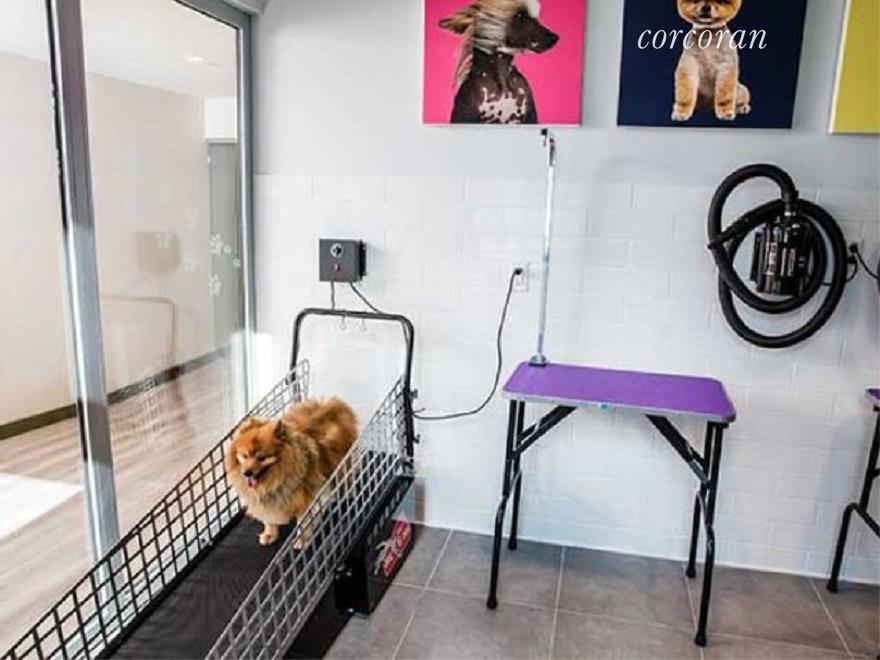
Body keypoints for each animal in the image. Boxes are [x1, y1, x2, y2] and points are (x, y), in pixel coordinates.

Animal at [226, 398, 358, 547]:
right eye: (244, 456)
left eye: (261, 458)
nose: (246, 473)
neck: (274, 478)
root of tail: (334, 406)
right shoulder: (266, 501)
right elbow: (268, 519)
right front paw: (270, 534)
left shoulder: (303, 499)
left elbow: (303, 523)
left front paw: (302, 540)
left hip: (341, 466)